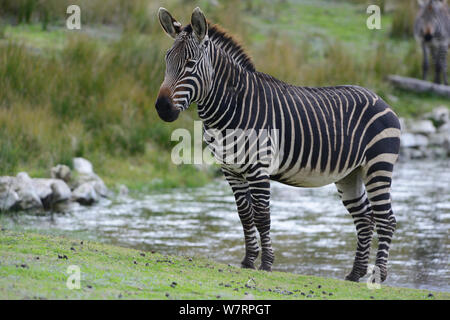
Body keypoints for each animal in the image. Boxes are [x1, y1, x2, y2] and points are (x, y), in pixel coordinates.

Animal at [156, 6, 400, 282]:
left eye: (190, 64)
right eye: (167, 61)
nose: (162, 108)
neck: (232, 105)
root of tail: (381, 99)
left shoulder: (258, 168)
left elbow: (262, 216)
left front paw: (266, 263)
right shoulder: (231, 170)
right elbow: (244, 215)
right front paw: (248, 261)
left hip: (378, 166)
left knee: (386, 219)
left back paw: (378, 275)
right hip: (350, 173)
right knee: (365, 217)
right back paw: (355, 274)